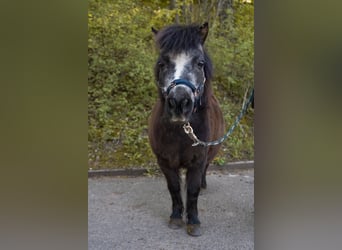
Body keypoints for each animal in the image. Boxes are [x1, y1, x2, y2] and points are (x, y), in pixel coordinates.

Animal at [149, 22, 224, 235]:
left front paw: (193, 221)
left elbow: (192, 190)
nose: (179, 103)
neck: (181, 131)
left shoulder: (197, 161)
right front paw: (176, 217)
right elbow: (174, 188)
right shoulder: (164, 161)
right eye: (162, 63)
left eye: (200, 63)